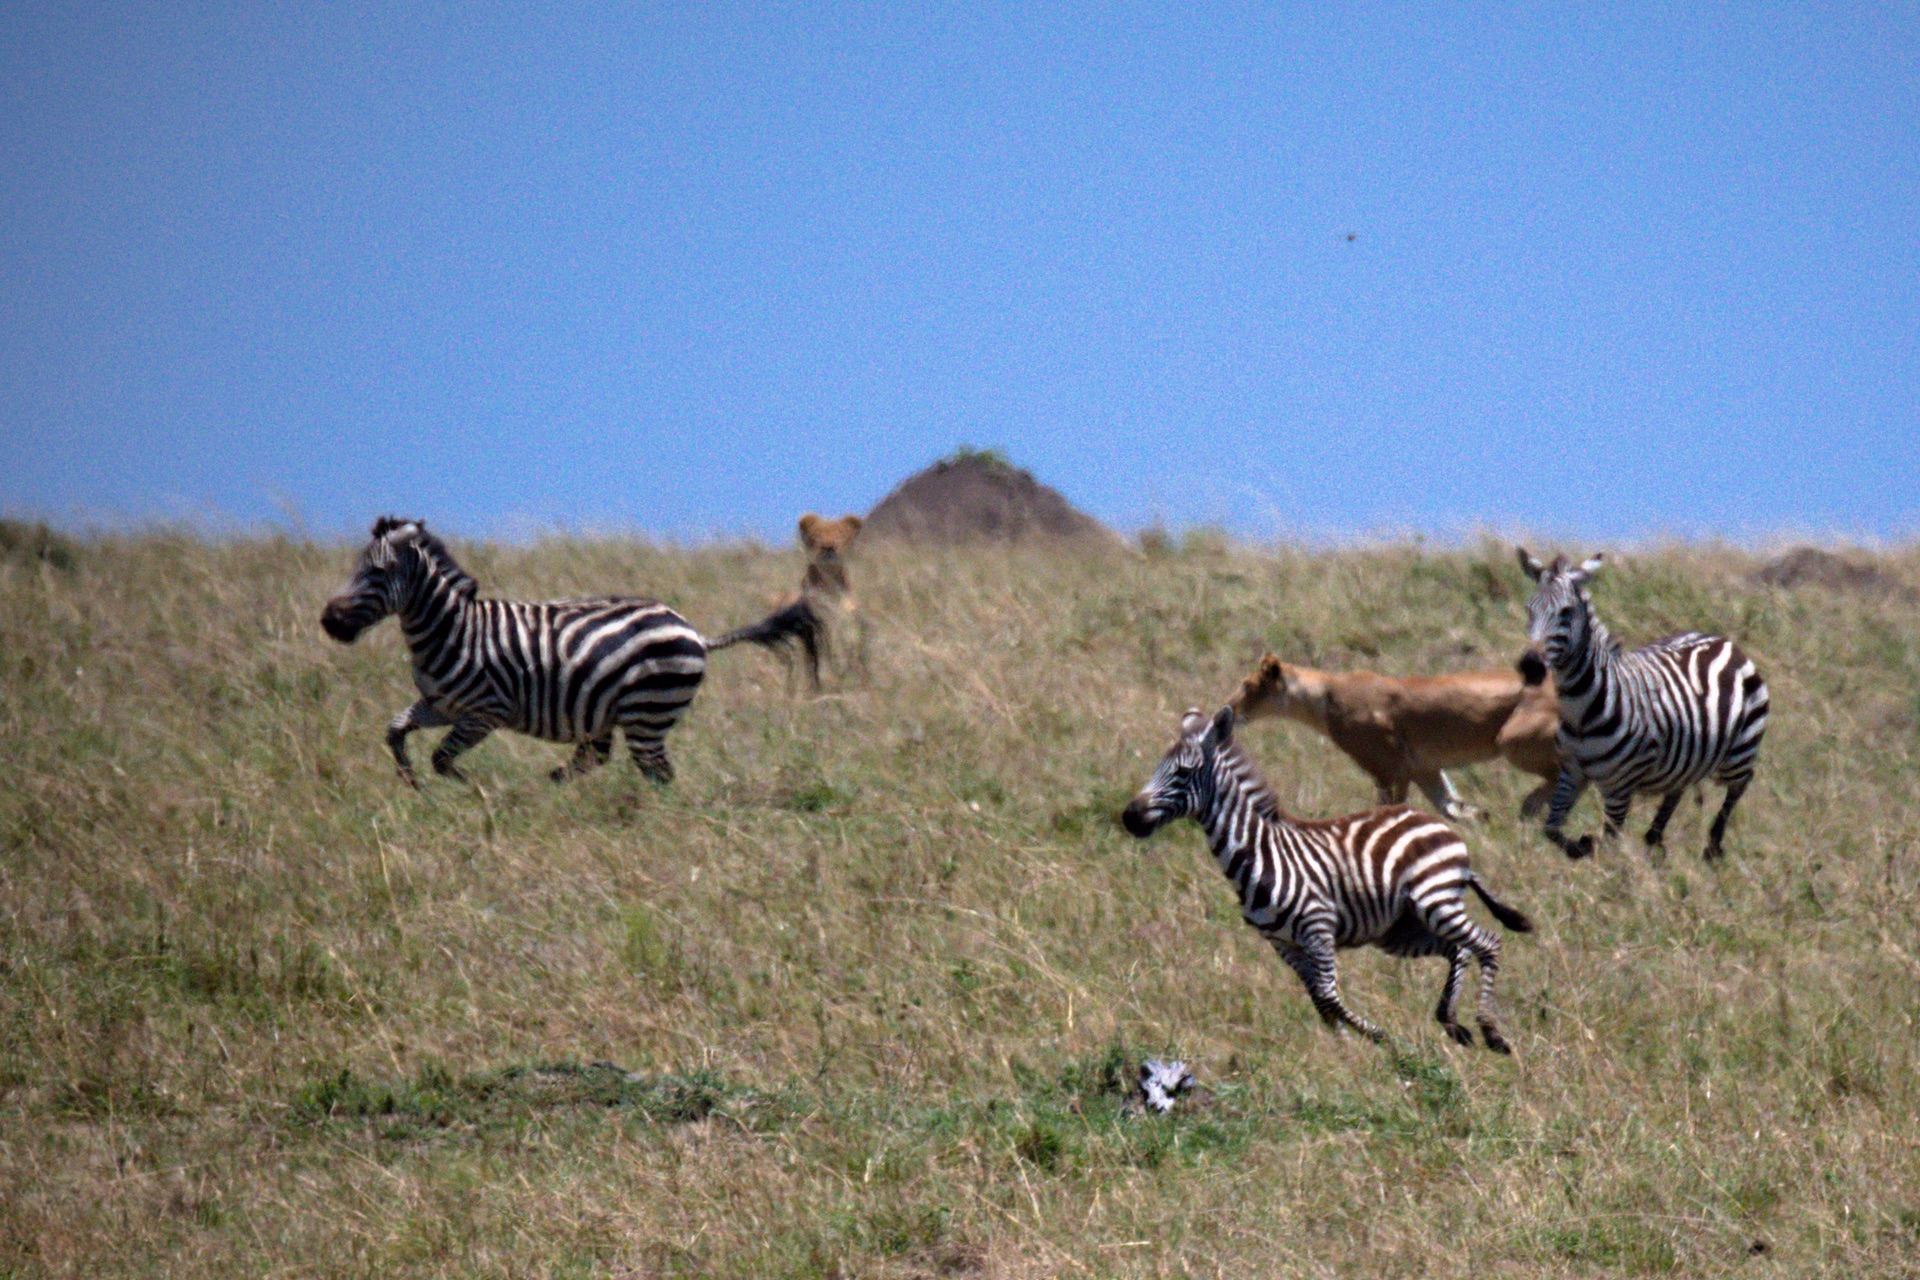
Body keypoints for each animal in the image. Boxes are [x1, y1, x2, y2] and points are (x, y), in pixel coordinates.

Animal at [316, 514, 825, 786]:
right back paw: (552, 784)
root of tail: (697, 634)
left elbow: (442, 759)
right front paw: (411, 782)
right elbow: (394, 731)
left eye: (377, 572)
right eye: (357, 567)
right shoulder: (439, 704)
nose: (328, 622)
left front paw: (475, 789)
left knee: (657, 773)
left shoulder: (484, 712)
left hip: (647, 712)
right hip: (607, 713)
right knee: (597, 759)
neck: (451, 630)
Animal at [1113, 706, 1528, 1059]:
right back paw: (1452, 1023)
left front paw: (1386, 1041)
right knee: (1458, 950)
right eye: (1158, 767)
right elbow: (1318, 1001)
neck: (1258, 854)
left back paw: (1492, 1033)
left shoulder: (1318, 928)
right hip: (1400, 929)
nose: (1130, 817)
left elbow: (1328, 997)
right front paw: (1345, 1053)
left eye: (1183, 773)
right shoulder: (1284, 944)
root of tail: (1438, 824)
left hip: (1434, 900)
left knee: (1488, 943)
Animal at [1512, 548, 1766, 859]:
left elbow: (1610, 841)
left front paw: (1601, 861)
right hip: (1686, 756)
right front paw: (1581, 846)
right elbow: (1551, 829)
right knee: (1677, 790)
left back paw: (1713, 847)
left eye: (1566, 612)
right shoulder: (1571, 771)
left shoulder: (1620, 787)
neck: (1581, 713)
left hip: (1741, 750)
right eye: (1529, 609)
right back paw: (1654, 840)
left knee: (1740, 785)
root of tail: (1721, 640)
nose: (1530, 667)